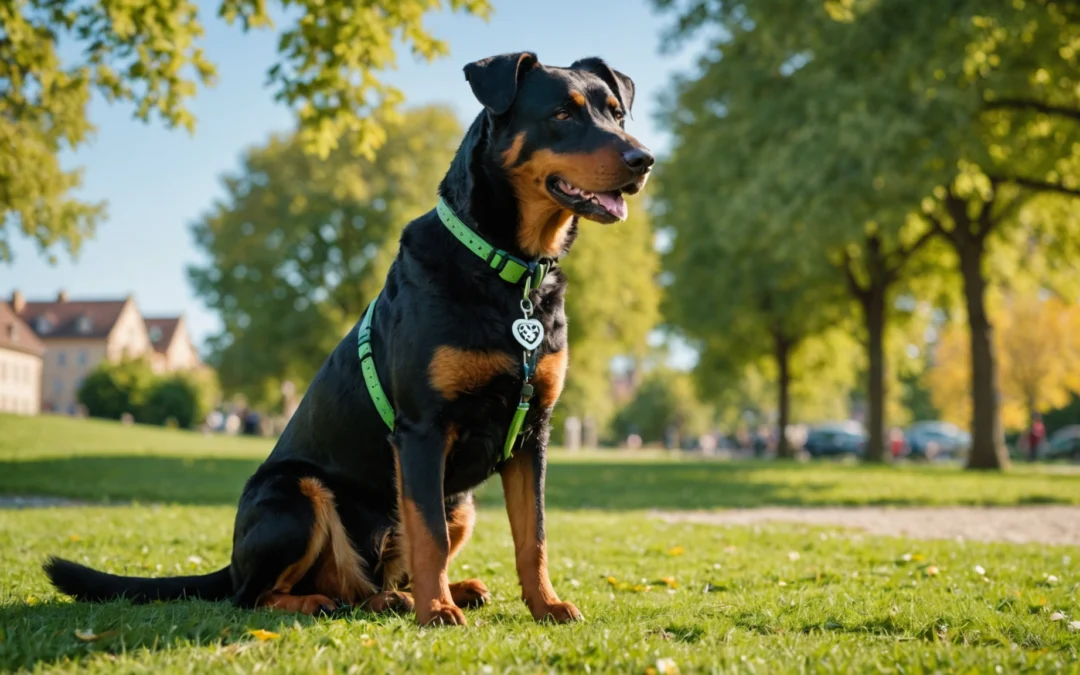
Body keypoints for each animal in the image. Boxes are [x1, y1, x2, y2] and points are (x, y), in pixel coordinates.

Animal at [42, 52, 652, 626]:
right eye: (561, 114)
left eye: (617, 114)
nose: (643, 159)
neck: (510, 272)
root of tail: (231, 562)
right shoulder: (422, 430)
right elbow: (428, 534)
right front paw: (437, 613)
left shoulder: (533, 434)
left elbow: (534, 536)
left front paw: (545, 605)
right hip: (296, 493)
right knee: (257, 595)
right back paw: (340, 601)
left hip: (461, 503)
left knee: (369, 582)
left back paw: (424, 594)